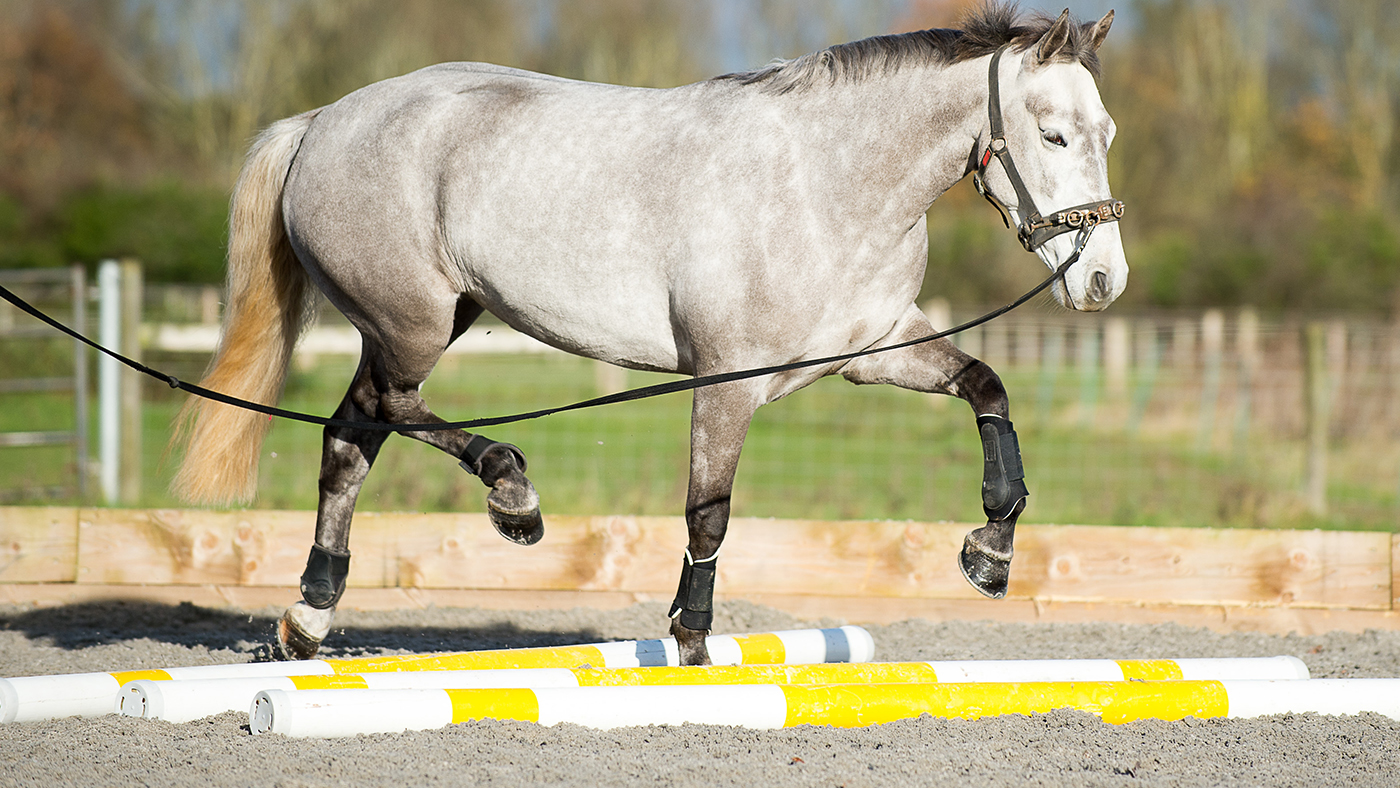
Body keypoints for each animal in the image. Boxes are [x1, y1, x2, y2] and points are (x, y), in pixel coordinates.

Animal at [171, 4, 1127, 665]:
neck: (822, 186)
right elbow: (709, 514)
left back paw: (309, 619)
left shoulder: (876, 350)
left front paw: (990, 554)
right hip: (411, 321)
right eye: (1052, 135)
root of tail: (321, 120)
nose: (1102, 281)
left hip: (427, 318)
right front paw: (693, 648)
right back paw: (511, 496)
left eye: (1105, 132)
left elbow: (988, 388)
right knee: (384, 411)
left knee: (351, 434)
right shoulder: (728, 383)